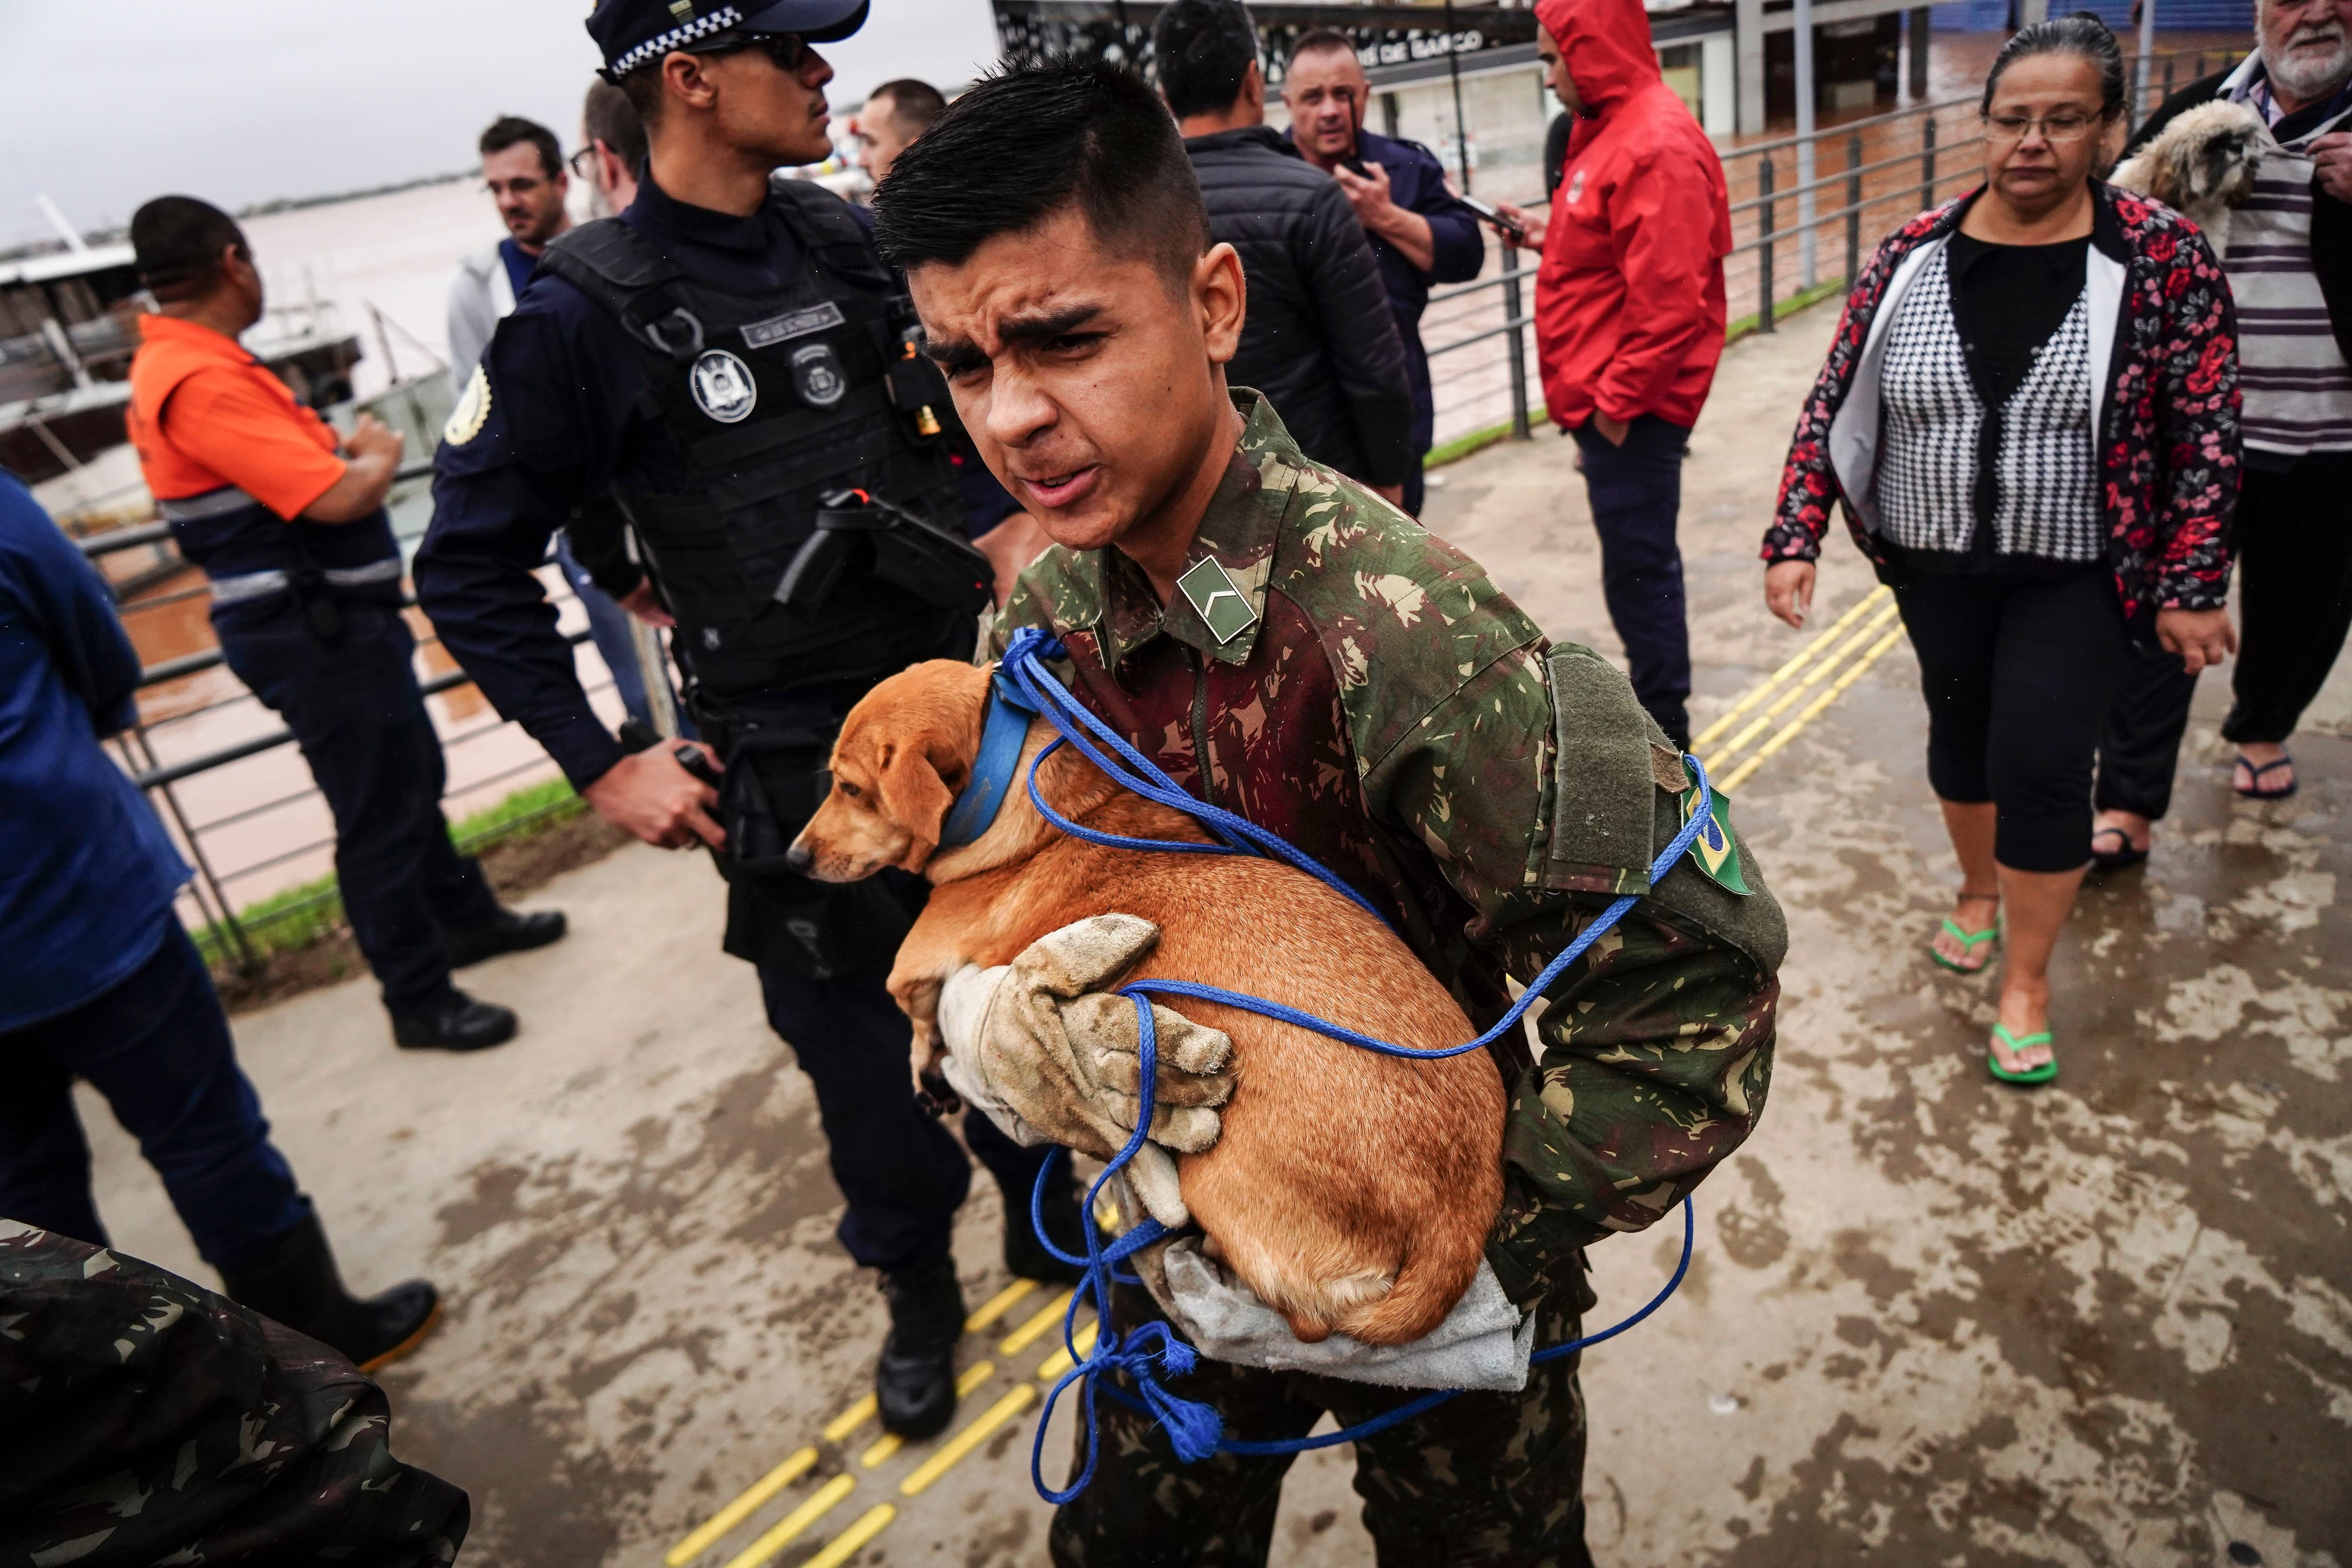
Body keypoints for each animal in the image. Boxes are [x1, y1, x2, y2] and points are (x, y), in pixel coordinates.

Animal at [795, 658, 1505, 1345]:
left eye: (850, 789)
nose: (794, 857)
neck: (1012, 803)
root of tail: (1456, 1224)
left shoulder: (913, 963)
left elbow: (912, 1012)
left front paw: (926, 1067)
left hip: (1212, 1178)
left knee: (1305, 1319)